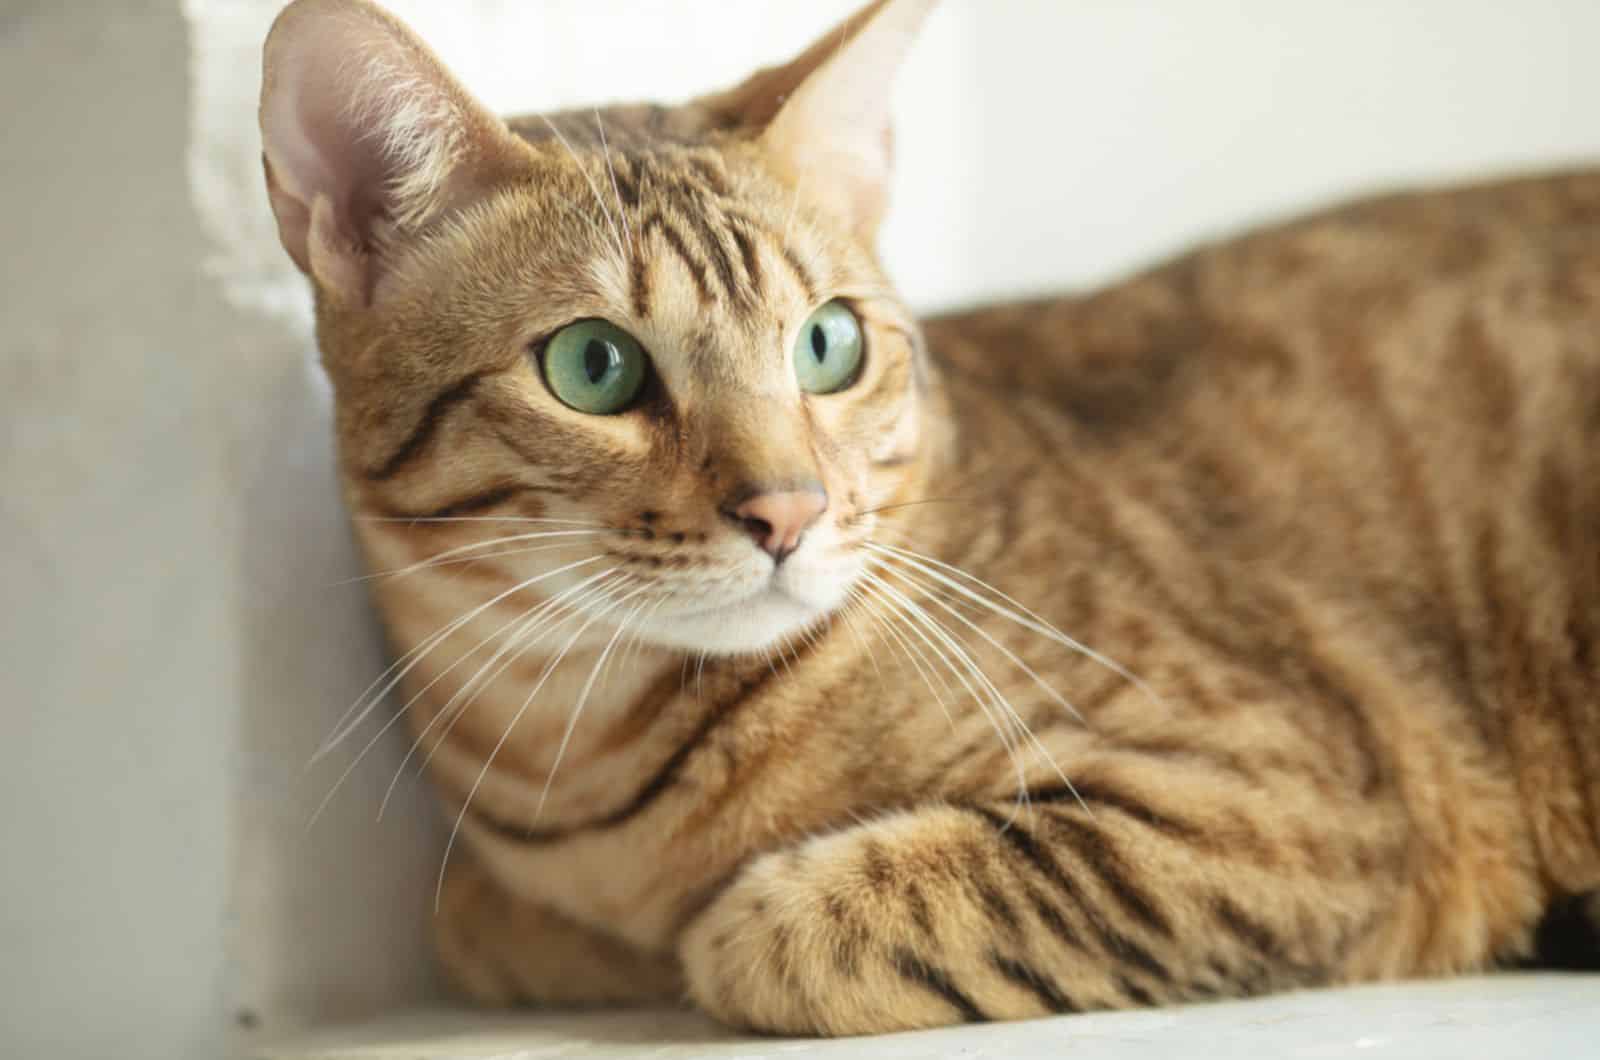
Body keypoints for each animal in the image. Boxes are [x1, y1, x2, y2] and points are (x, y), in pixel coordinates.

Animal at [256, 0, 1593, 1037]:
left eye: (828, 344)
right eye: (592, 366)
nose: (788, 510)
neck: (578, 764)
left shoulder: (1284, 798)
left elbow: (772, 928)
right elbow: (483, 921)